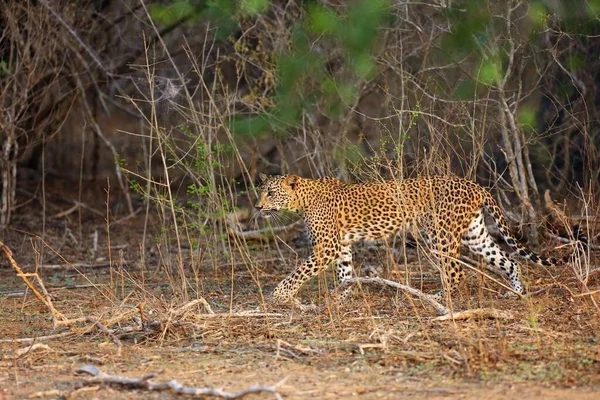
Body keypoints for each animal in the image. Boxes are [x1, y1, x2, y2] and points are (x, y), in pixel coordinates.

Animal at [254, 173, 556, 306]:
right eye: (261, 191)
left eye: (270, 192)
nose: (257, 207)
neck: (302, 200)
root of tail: (474, 185)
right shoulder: (341, 246)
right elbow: (345, 272)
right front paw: (342, 296)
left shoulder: (326, 247)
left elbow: (299, 272)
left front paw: (279, 294)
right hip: (475, 234)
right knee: (509, 261)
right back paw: (516, 292)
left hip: (440, 235)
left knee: (456, 271)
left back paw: (438, 297)